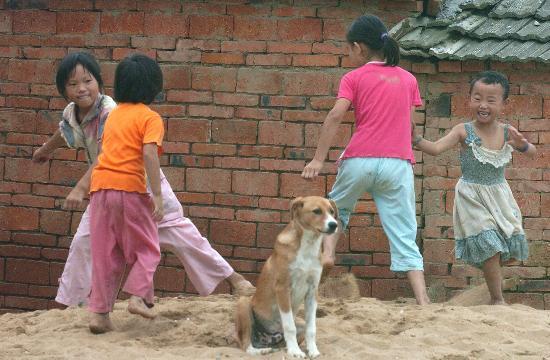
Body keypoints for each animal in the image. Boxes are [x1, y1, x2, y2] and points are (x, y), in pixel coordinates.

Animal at [235, 195, 338, 358]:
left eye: (332, 211)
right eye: (316, 211)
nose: (334, 225)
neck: (308, 246)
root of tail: (266, 338)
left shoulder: (312, 292)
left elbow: (311, 328)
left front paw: (312, 350)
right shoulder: (282, 289)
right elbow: (289, 326)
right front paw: (295, 351)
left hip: (299, 322)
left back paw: (282, 348)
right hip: (243, 303)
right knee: (245, 343)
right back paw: (260, 350)